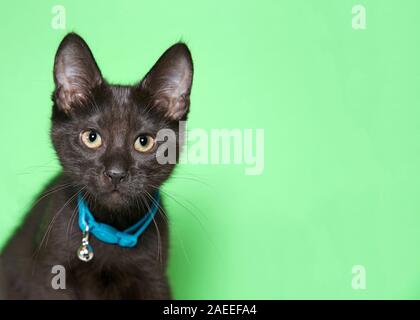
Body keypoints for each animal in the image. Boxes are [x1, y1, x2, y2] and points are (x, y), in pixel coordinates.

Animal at [0, 33, 194, 298]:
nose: (116, 173)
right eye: (91, 137)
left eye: (144, 142)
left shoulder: (154, 278)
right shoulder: (50, 274)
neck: (112, 227)